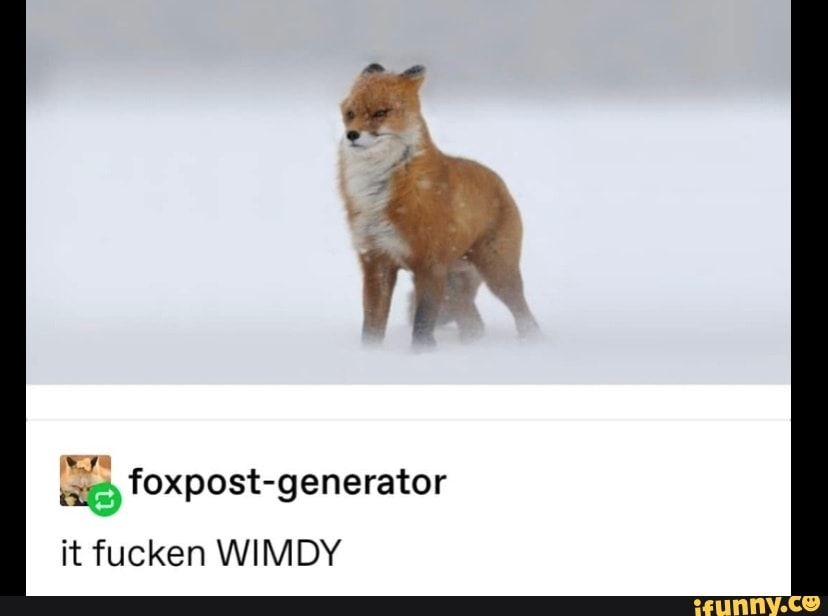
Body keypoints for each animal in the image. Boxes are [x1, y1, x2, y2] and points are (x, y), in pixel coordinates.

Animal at [338, 63, 539, 348]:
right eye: (350, 114)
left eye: (380, 113)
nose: (351, 135)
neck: (380, 193)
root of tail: (500, 182)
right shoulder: (376, 261)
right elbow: (372, 326)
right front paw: (370, 355)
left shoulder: (429, 264)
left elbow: (422, 325)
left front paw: (422, 355)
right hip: (454, 287)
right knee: (474, 325)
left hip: (497, 273)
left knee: (524, 316)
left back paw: (533, 343)